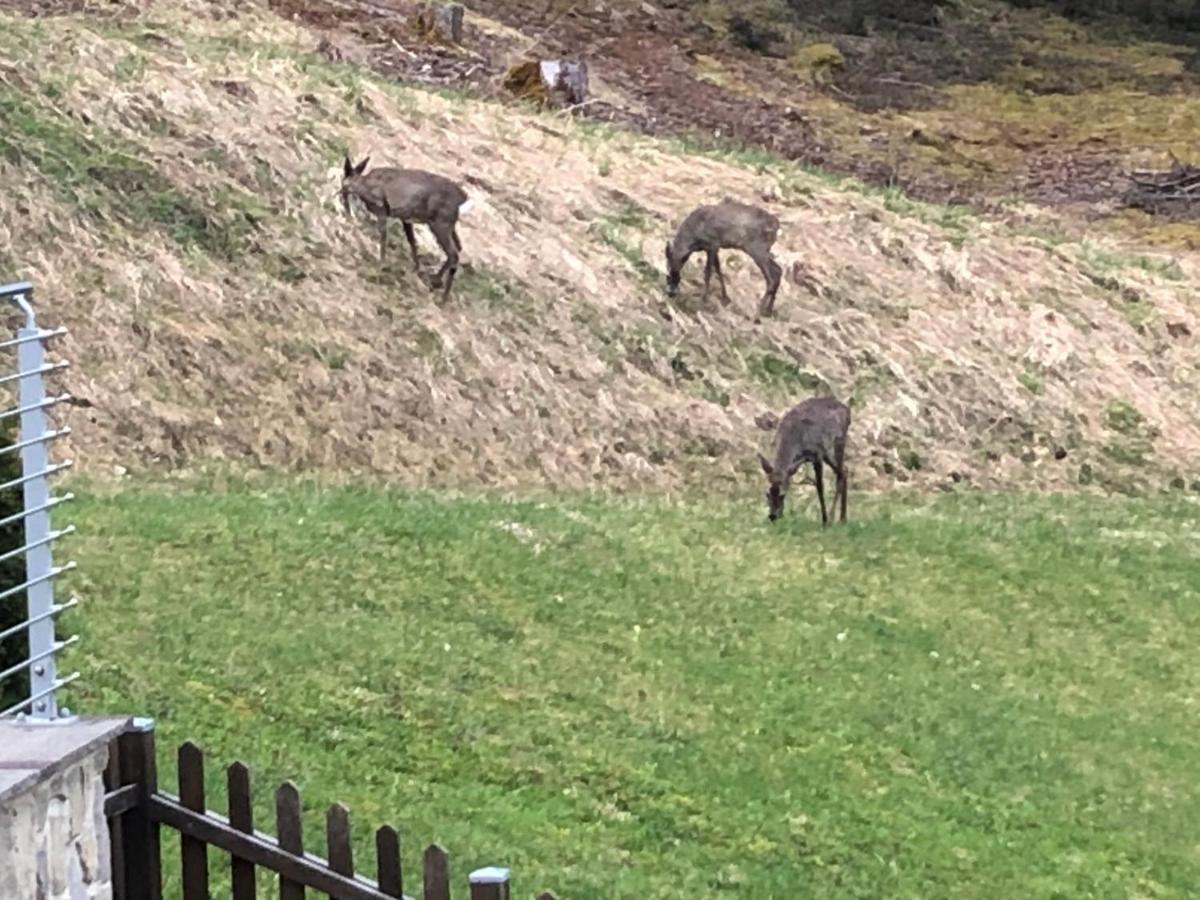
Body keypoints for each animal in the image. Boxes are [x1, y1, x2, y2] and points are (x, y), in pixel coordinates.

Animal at [338, 157, 472, 303]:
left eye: (343, 179)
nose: (341, 193)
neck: (364, 185)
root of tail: (462, 199)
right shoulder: (406, 219)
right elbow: (412, 242)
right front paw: (416, 269)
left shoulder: (381, 209)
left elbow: (384, 236)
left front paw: (381, 264)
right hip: (449, 225)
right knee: (458, 248)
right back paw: (435, 282)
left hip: (440, 223)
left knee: (453, 254)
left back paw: (442, 296)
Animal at [753, 396, 849, 528]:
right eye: (767, 494)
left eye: (782, 495)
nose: (773, 516)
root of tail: (847, 410)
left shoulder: (817, 454)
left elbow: (820, 487)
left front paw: (824, 521)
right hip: (829, 452)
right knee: (845, 469)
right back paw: (843, 518)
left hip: (838, 442)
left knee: (841, 472)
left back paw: (834, 519)